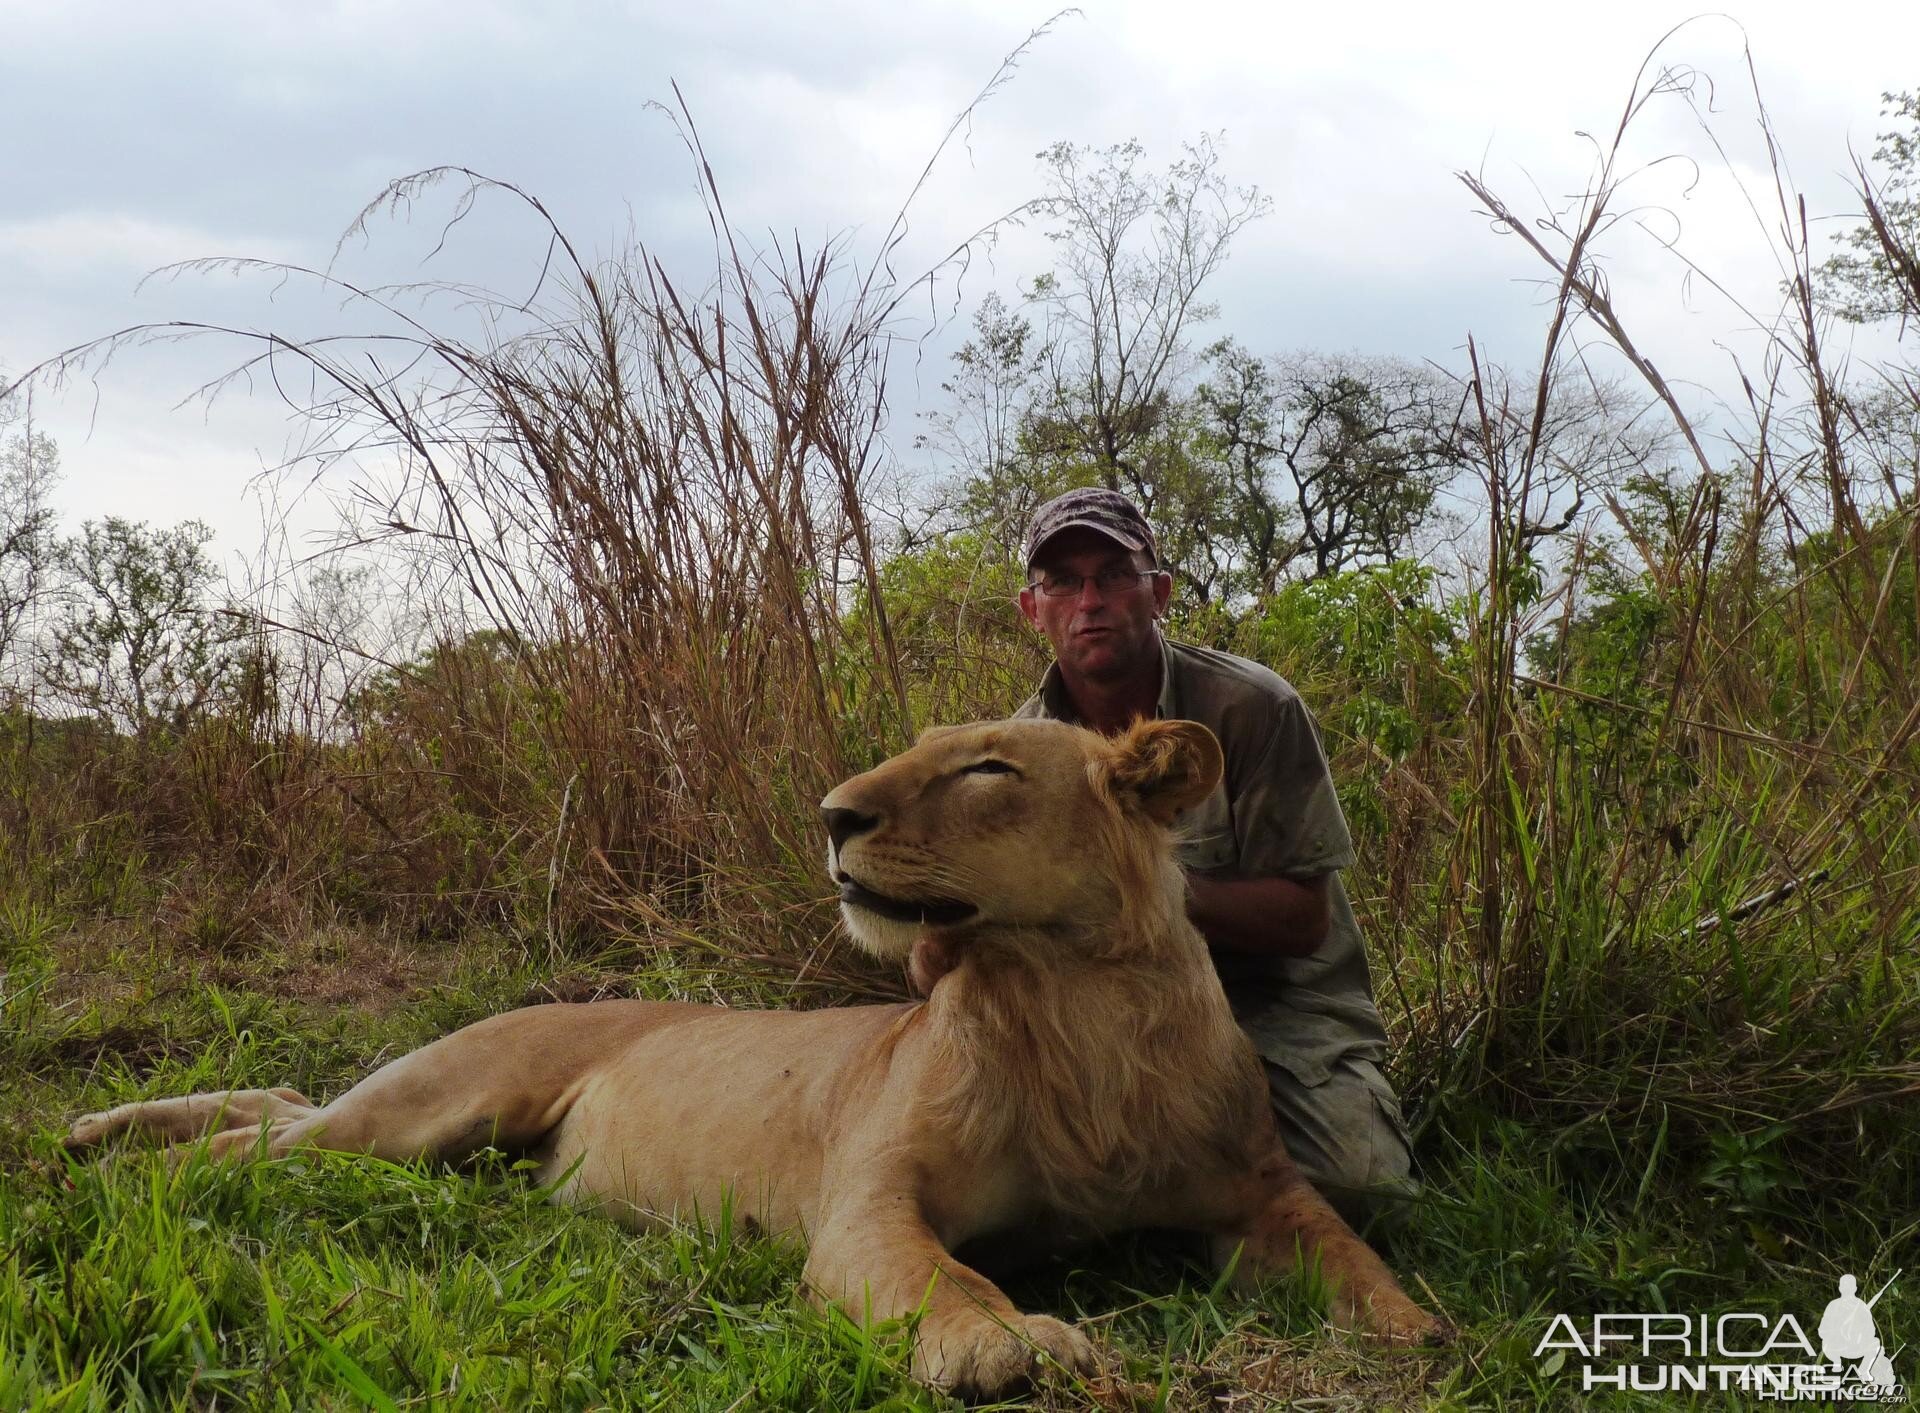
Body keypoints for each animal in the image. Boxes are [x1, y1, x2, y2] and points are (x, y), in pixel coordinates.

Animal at [60, 721, 1443, 1397]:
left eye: (989, 767)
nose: (833, 814)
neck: (1074, 1000)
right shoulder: (865, 1205)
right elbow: (943, 1279)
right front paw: (1008, 1350)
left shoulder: (1260, 1193)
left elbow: (1357, 1260)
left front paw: (1423, 1335)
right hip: (434, 1108)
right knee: (276, 1131)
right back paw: (114, 1157)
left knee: (286, 1097)